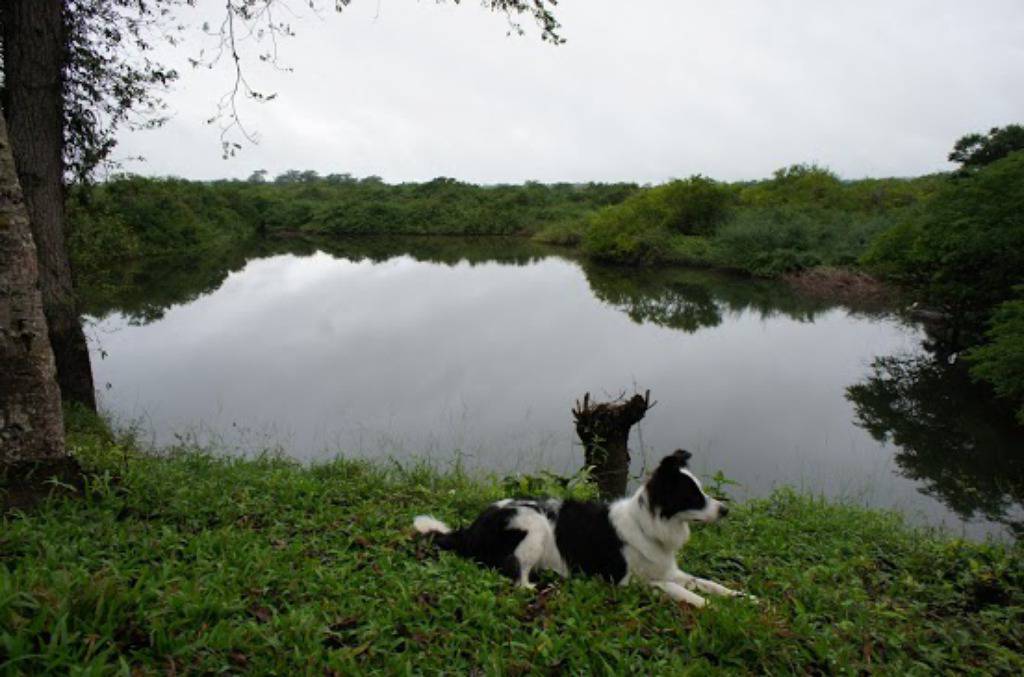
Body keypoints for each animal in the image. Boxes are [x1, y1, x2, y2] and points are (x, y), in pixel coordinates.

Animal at [411, 448, 749, 606]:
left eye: (702, 490)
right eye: (693, 495)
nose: (726, 510)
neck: (649, 525)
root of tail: (471, 529)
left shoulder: (666, 569)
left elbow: (707, 582)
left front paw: (741, 597)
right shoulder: (626, 581)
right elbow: (678, 589)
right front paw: (707, 606)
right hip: (533, 523)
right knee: (518, 580)